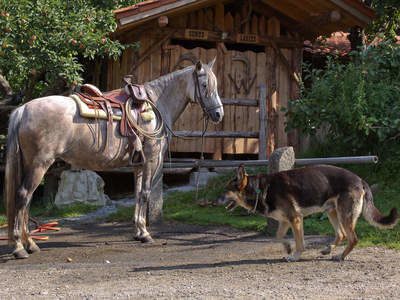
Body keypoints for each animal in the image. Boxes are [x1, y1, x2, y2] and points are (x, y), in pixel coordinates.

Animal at [4, 58, 223, 258]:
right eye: (205, 85)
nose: (219, 114)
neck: (157, 105)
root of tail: (23, 109)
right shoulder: (152, 159)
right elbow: (145, 193)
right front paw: (145, 234)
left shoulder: (139, 163)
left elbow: (137, 194)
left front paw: (138, 231)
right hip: (40, 164)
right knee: (23, 196)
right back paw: (20, 247)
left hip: (30, 164)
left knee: (26, 200)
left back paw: (30, 243)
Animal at [217, 165, 398, 262]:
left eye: (226, 190)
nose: (215, 201)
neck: (259, 188)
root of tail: (360, 179)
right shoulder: (285, 221)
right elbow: (278, 235)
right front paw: (287, 248)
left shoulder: (295, 219)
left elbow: (300, 243)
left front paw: (295, 256)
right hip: (332, 212)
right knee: (341, 235)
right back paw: (327, 250)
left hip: (343, 215)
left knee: (352, 238)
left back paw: (340, 256)